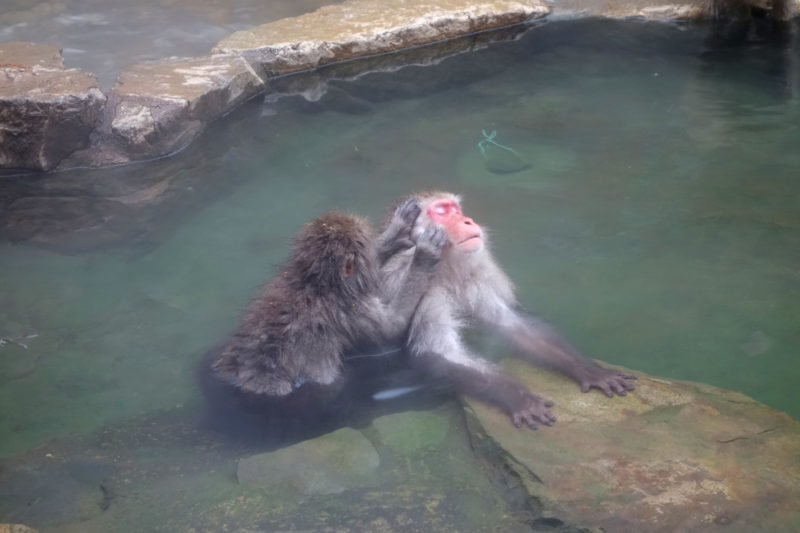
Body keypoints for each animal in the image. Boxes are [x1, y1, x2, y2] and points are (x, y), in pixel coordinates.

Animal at [209, 198, 446, 400]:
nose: (424, 254)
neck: (317, 283)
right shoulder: (354, 309)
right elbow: (392, 327)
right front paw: (424, 255)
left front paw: (395, 230)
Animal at [388, 191, 636, 428]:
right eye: (441, 211)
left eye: (456, 209)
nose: (468, 220)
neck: (448, 268)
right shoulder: (425, 294)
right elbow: (438, 351)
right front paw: (519, 398)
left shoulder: (478, 278)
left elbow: (512, 324)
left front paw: (592, 371)